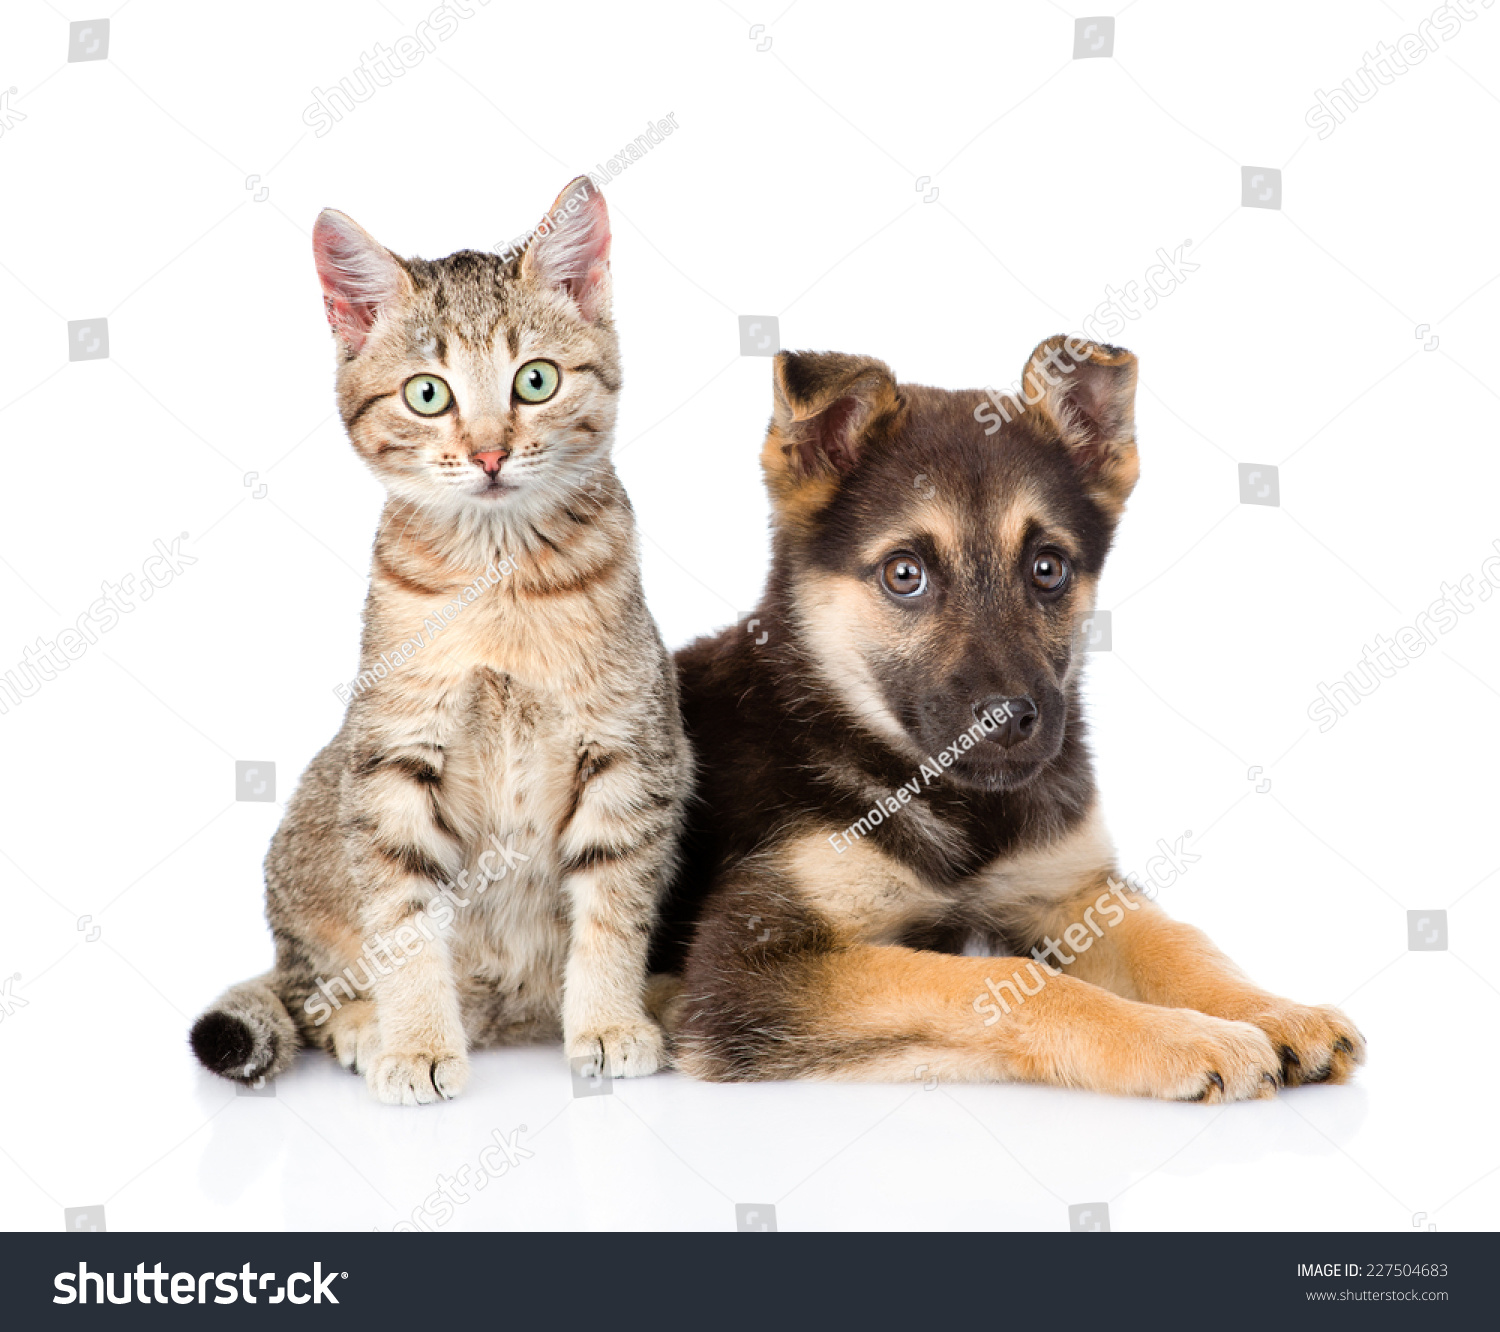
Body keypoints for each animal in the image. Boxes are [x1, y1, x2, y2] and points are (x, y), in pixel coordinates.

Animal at [186, 182, 690, 1110]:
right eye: (428, 394)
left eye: (536, 380)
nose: (489, 452)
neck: (497, 580)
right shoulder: (389, 764)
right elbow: (405, 924)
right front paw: (417, 1040)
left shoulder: (631, 753)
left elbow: (612, 907)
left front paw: (608, 1021)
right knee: (306, 986)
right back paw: (366, 1024)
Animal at [651, 336, 1368, 1104]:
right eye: (904, 574)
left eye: (1048, 568)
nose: (1008, 719)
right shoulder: (747, 969)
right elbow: (1000, 981)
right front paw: (1184, 1037)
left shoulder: (1071, 891)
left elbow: (1178, 942)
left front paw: (1273, 1009)